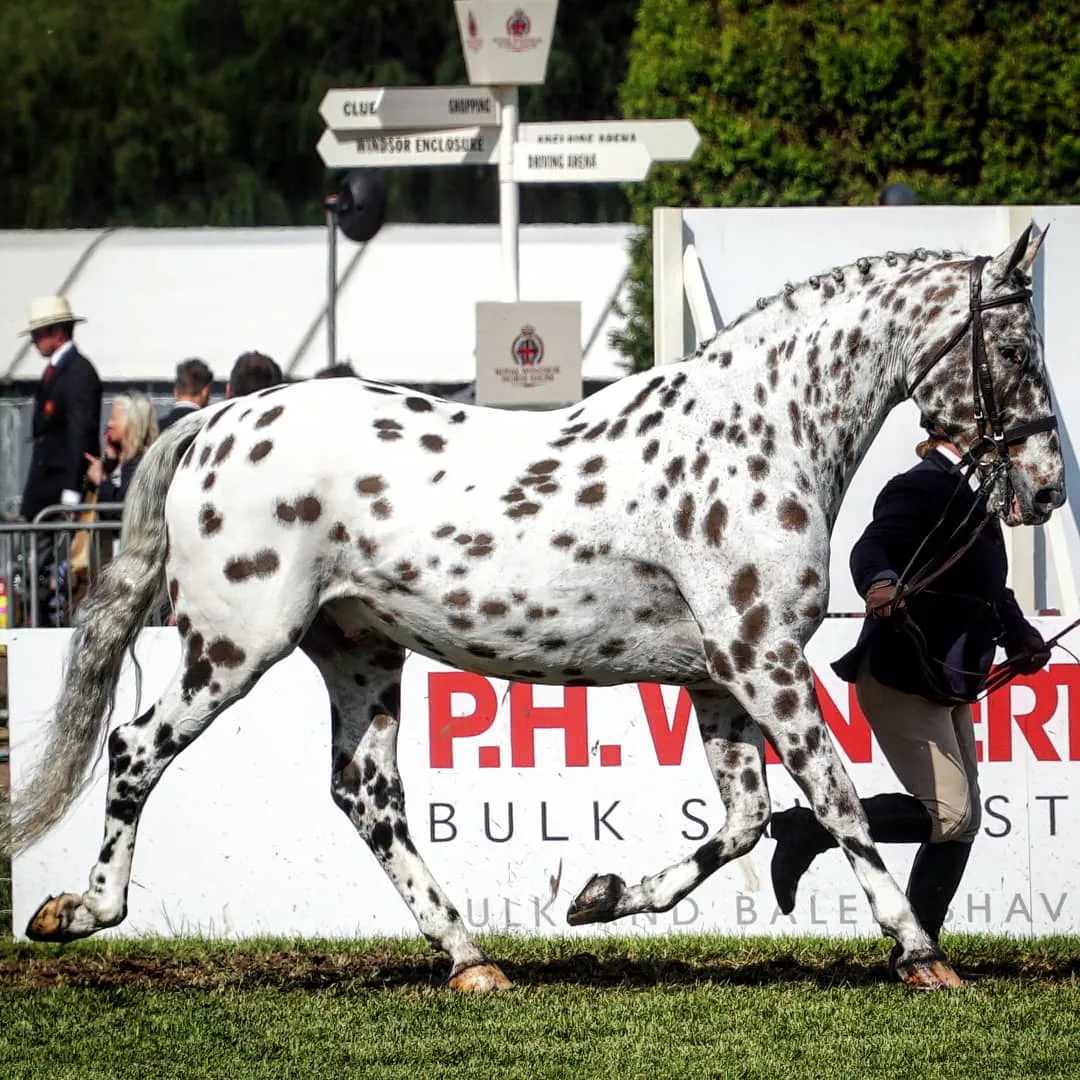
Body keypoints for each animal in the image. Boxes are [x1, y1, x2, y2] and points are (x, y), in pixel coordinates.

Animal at [12, 227, 1063, 992]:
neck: (761, 434)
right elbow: (836, 800)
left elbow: (746, 823)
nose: (1048, 486)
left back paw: (474, 962)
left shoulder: (721, 677)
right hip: (234, 644)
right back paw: (76, 912)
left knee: (368, 796)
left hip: (357, 653)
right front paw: (920, 954)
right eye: (1017, 347)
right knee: (136, 748)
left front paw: (598, 896)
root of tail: (217, 421)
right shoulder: (764, 660)